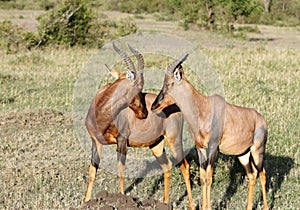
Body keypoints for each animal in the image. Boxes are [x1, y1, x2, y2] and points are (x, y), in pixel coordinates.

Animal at [82, 44, 195, 208]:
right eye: (139, 86)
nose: (144, 112)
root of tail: (177, 106)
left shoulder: (122, 141)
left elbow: (120, 170)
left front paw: (122, 199)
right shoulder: (95, 142)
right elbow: (92, 171)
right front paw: (85, 201)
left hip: (173, 140)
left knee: (184, 167)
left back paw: (191, 205)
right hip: (156, 144)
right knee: (167, 166)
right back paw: (165, 203)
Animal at [151, 54, 268, 210]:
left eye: (170, 84)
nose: (153, 106)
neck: (203, 108)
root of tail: (261, 119)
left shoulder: (213, 148)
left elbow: (209, 177)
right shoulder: (200, 148)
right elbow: (203, 178)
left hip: (257, 150)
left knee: (262, 174)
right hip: (243, 154)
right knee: (252, 175)